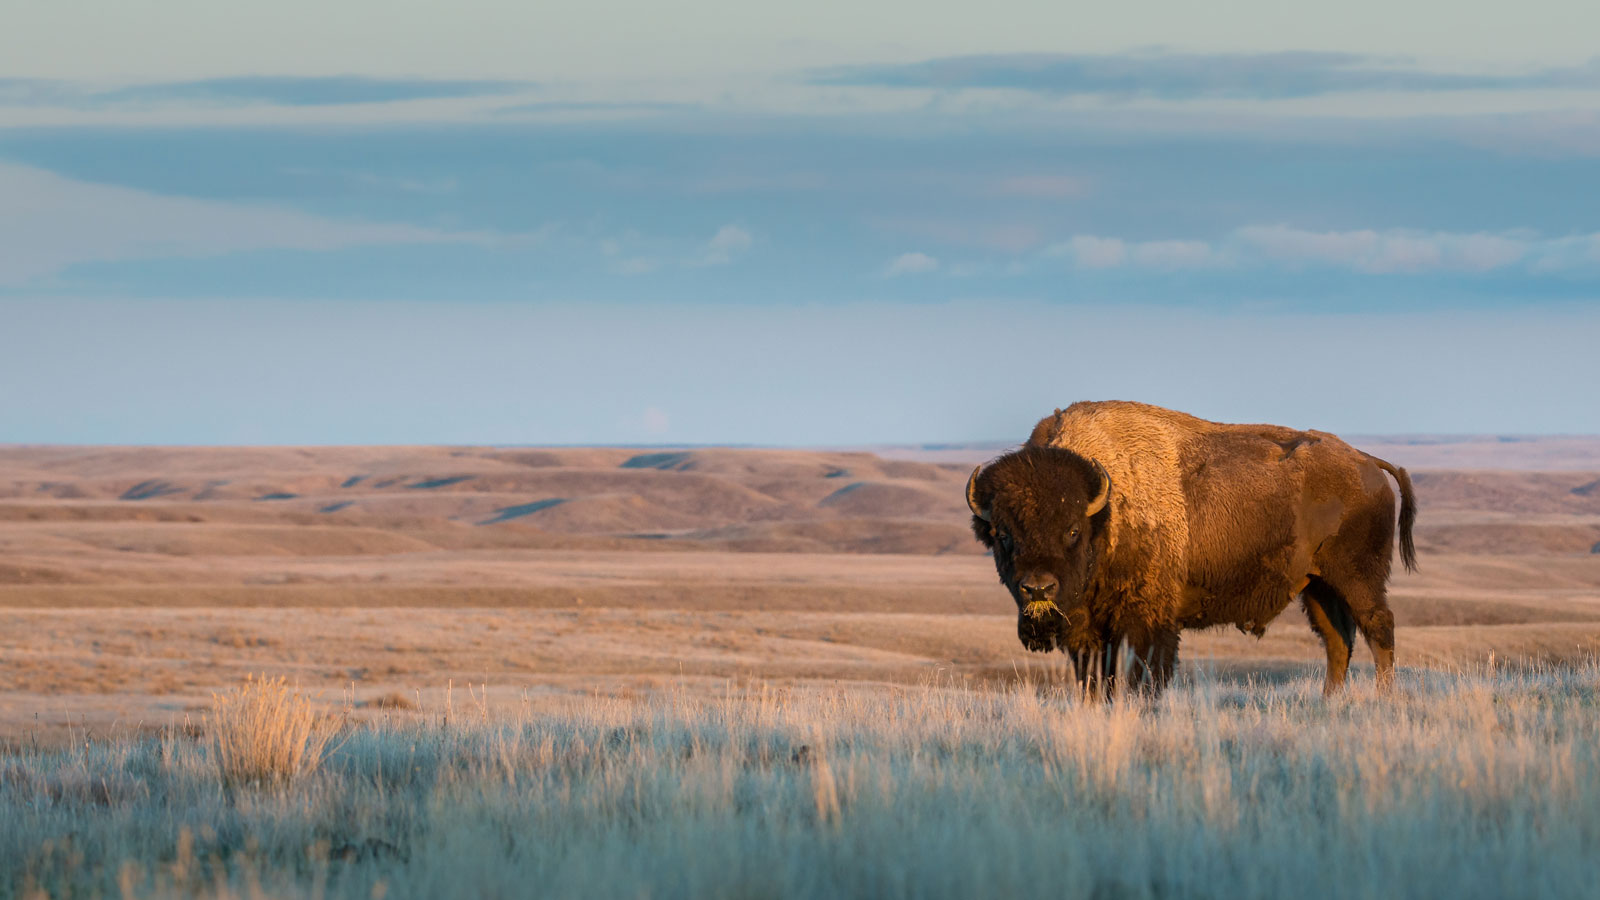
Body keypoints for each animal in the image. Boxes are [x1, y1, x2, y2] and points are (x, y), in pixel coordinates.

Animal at [967, 401, 1417, 698]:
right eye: (1003, 534)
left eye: (1072, 530)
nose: (1038, 588)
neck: (1106, 510)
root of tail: (1367, 462)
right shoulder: (1088, 630)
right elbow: (1096, 679)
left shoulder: (1146, 622)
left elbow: (1142, 674)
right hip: (1317, 585)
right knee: (1337, 640)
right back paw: (1329, 702)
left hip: (1358, 577)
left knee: (1379, 628)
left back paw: (1383, 699)